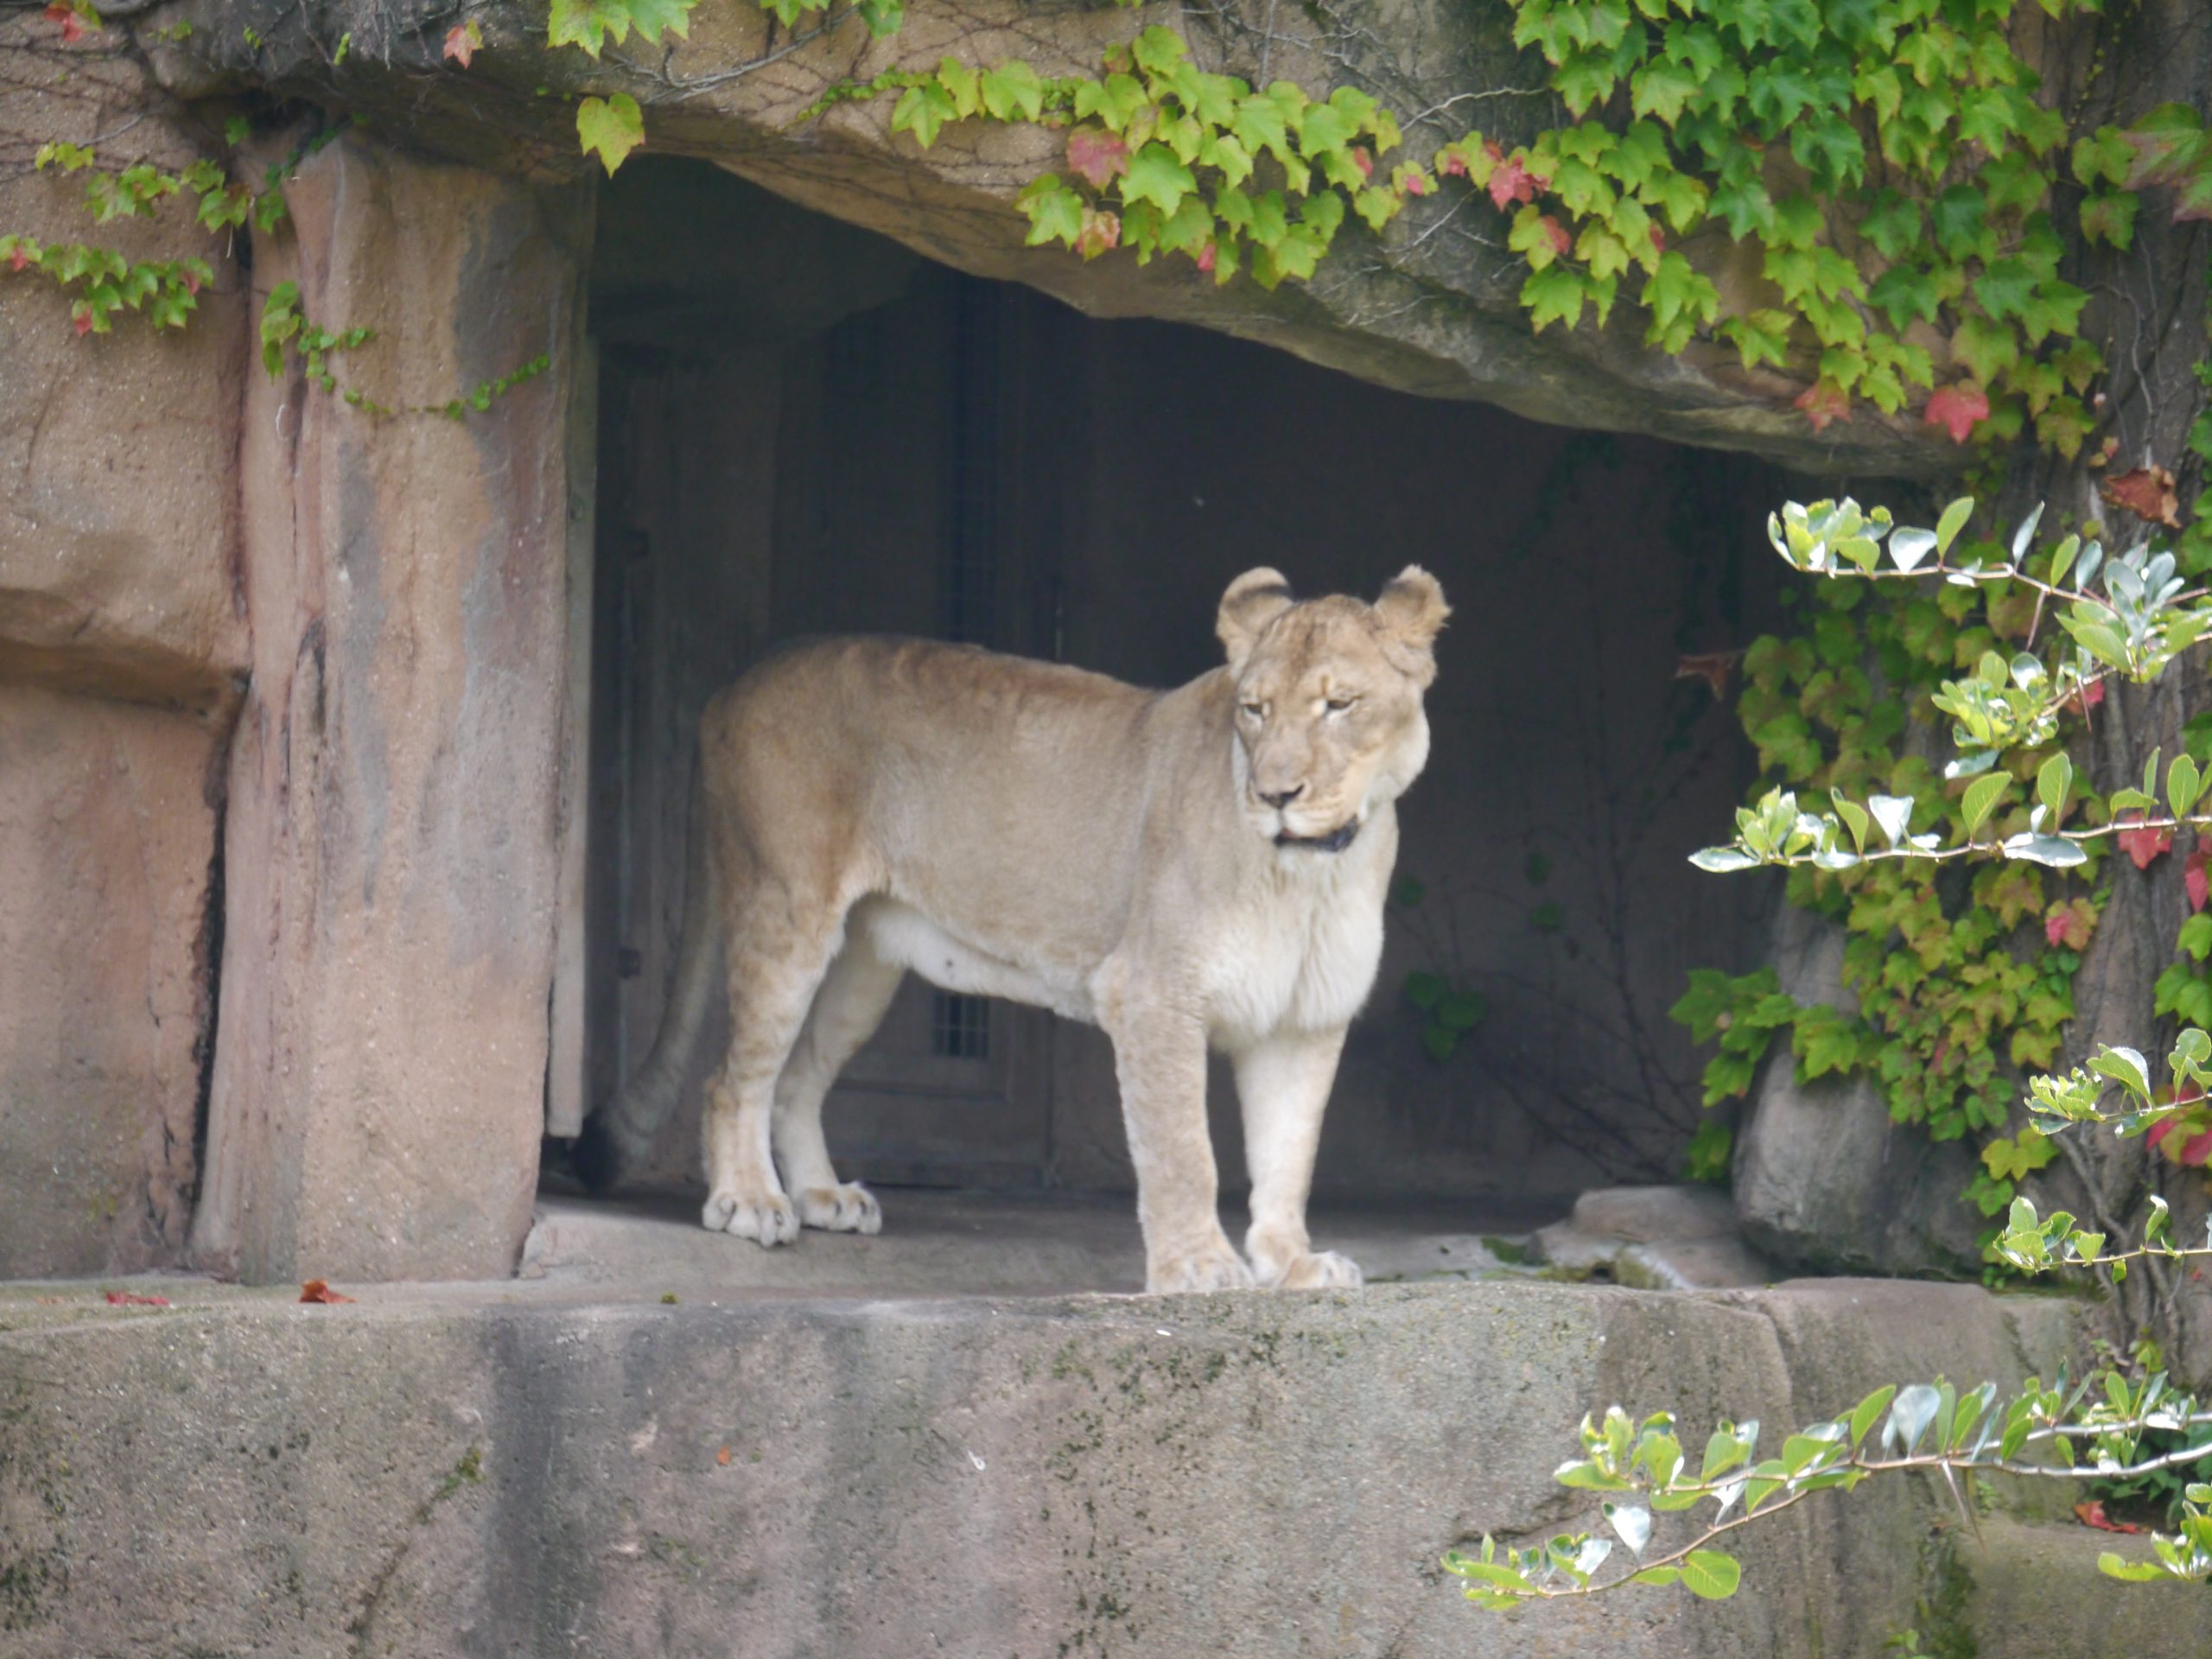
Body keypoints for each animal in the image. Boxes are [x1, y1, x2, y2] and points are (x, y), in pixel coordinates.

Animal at [575, 565, 1449, 1293]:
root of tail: (736, 681)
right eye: (1255, 711)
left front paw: (1294, 1264)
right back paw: (751, 1201)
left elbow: (1289, 1156)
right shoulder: (1154, 994)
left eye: (1340, 705)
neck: (1312, 875)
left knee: (795, 1077)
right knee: (733, 1079)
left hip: (862, 962)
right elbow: (1183, 1152)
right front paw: (1199, 1268)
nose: (1275, 795)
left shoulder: (1304, 1020)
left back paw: (823, 1195)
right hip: (785, 909)